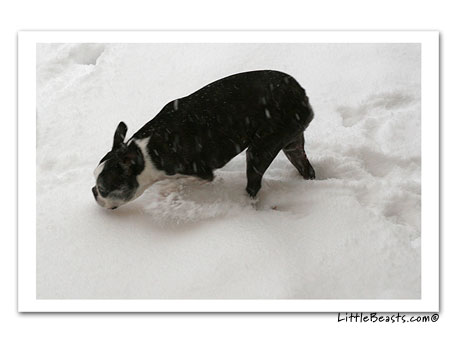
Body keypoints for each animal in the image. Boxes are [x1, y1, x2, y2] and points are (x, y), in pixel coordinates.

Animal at [92, 70, 314, 210]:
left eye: (103, 189)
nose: (94, 191)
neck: (146, 153)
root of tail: (299, 92)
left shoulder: (200, 172)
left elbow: (185, 180)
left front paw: (170, 190)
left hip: (261, 148)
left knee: (253, 183)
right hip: (291, 141)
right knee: (305, 167)